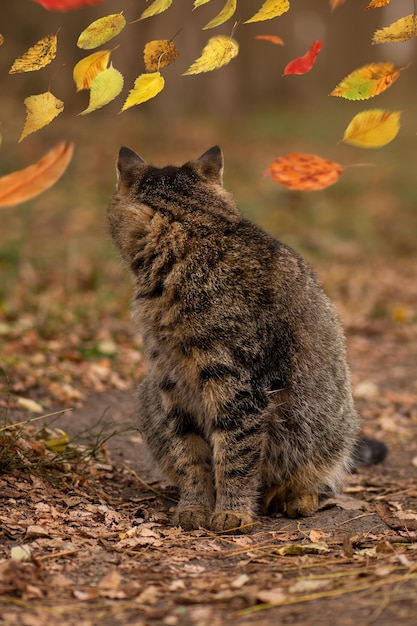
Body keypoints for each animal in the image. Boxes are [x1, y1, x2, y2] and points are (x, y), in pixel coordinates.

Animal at [106, 146, 384, 532]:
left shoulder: (238, 386)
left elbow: (236, 456)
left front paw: (232, 512)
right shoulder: (170, 383)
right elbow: (190, 456)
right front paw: (194, 506)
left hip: (323, 428)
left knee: (318, 477)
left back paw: (296, 498)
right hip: (149, 395)